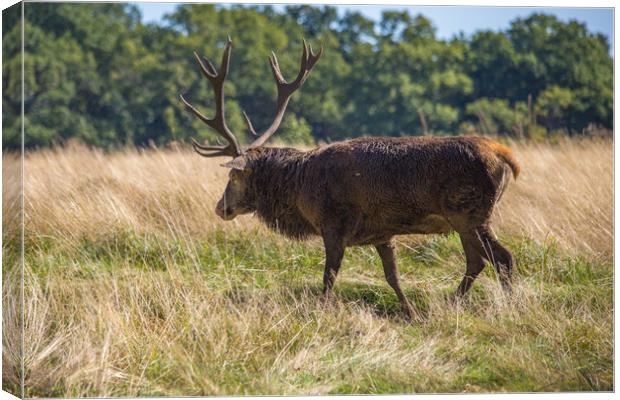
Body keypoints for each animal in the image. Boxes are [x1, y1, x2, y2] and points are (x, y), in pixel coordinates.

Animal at [179, 37, 520, 318]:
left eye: (234, 176)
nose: (220, 207)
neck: (300, 190)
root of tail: (506, 156)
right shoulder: (382, 233)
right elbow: (392, 276)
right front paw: (410, 312)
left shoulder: (333, 224)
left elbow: (329, 277)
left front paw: (322, 311)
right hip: (466, 219)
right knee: (478, 261)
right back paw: (453, 302)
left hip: (470, 212)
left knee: (502, 258)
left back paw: (509, 307)